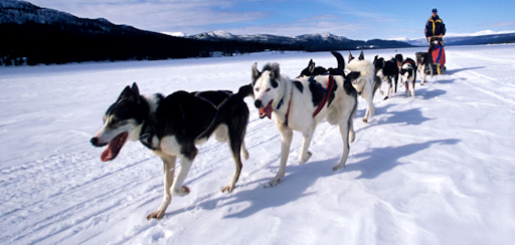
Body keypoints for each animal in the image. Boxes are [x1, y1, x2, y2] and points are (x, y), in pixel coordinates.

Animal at [92, 82, 254, 220]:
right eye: (104, 120)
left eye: (115, 121)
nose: (93, 140)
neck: (156, 118)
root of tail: (236, 95)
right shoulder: (168, 160)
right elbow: (166, 191)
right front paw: (161, 211)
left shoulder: (189, 153)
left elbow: (173, 188)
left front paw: (184, 190)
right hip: (221, 135)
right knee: (241, 140)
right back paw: (245, 153)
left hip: (229, 138)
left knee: (238, 163)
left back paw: (231, 184)